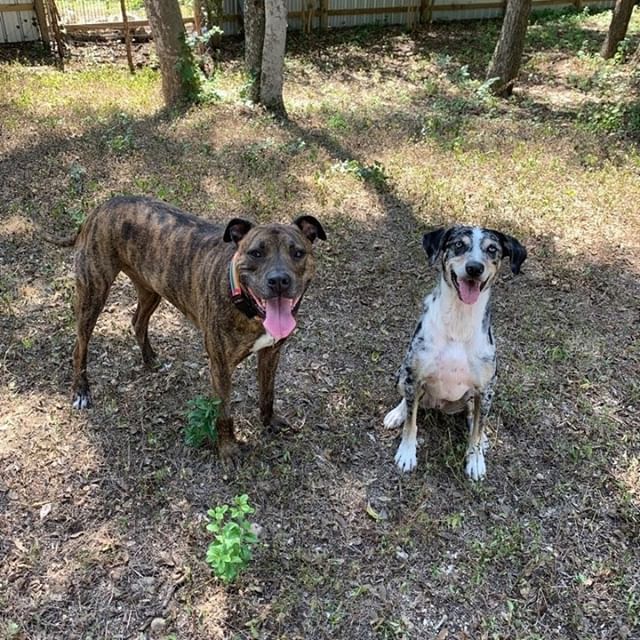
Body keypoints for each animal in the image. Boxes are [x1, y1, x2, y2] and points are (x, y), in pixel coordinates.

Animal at [49, 196, 324, 464]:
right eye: (256, 253)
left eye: (298, 253)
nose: (279, 280)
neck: (247, 306)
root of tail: (102, 206)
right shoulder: (220, 367)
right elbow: (224, 412)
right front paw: (228, 450)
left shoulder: (271, 353)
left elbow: (268, 392)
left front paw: (269, 421)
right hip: (93, 292)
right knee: (80, 346)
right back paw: (81, 390)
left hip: (151, 288)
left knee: (138, 321)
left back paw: (150, 359)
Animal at [384, 225, 524, 480]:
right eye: (459, 244)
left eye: (492, 249)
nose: (474, 268)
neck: (459, 321)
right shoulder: (414, 374)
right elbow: (411, 421)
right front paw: (407, 453)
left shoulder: (486, 389)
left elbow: (476, 430)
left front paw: (475, 460)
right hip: (403, 372)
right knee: (409, 401)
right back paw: (397, 413)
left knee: (473, 417)